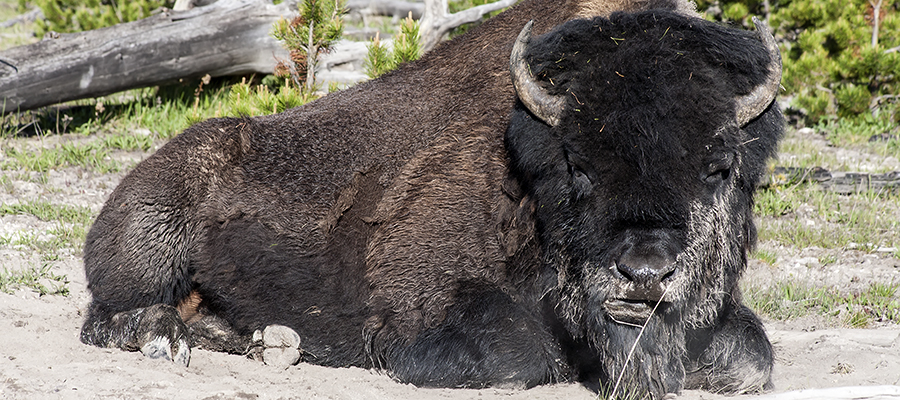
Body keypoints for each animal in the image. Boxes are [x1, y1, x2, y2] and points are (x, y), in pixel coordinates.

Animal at [80, 0, 784, 398]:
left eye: (719, 167)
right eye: (578, 165)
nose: (643, 273)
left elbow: (752, 359)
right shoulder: (424, 291)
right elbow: (517, 356)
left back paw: (265, 341)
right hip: (149, 245)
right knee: (109, 318)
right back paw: (166, 339)